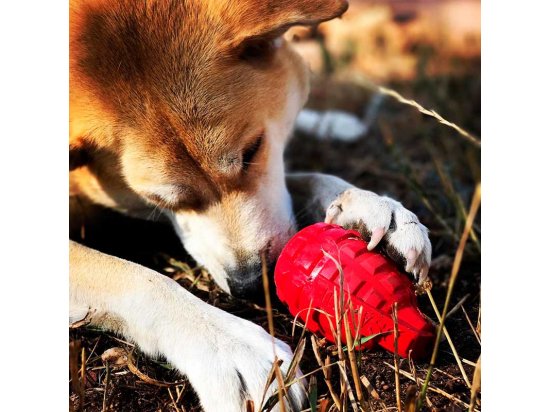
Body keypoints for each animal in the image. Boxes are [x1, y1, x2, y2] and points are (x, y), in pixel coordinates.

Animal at [68, 1, 432, 410]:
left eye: (252, 150)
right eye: (156, 200)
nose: (252, 284)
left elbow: (303, 179)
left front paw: (369, 208)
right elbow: (138, 279)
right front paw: (228, 346)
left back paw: (334, 124)